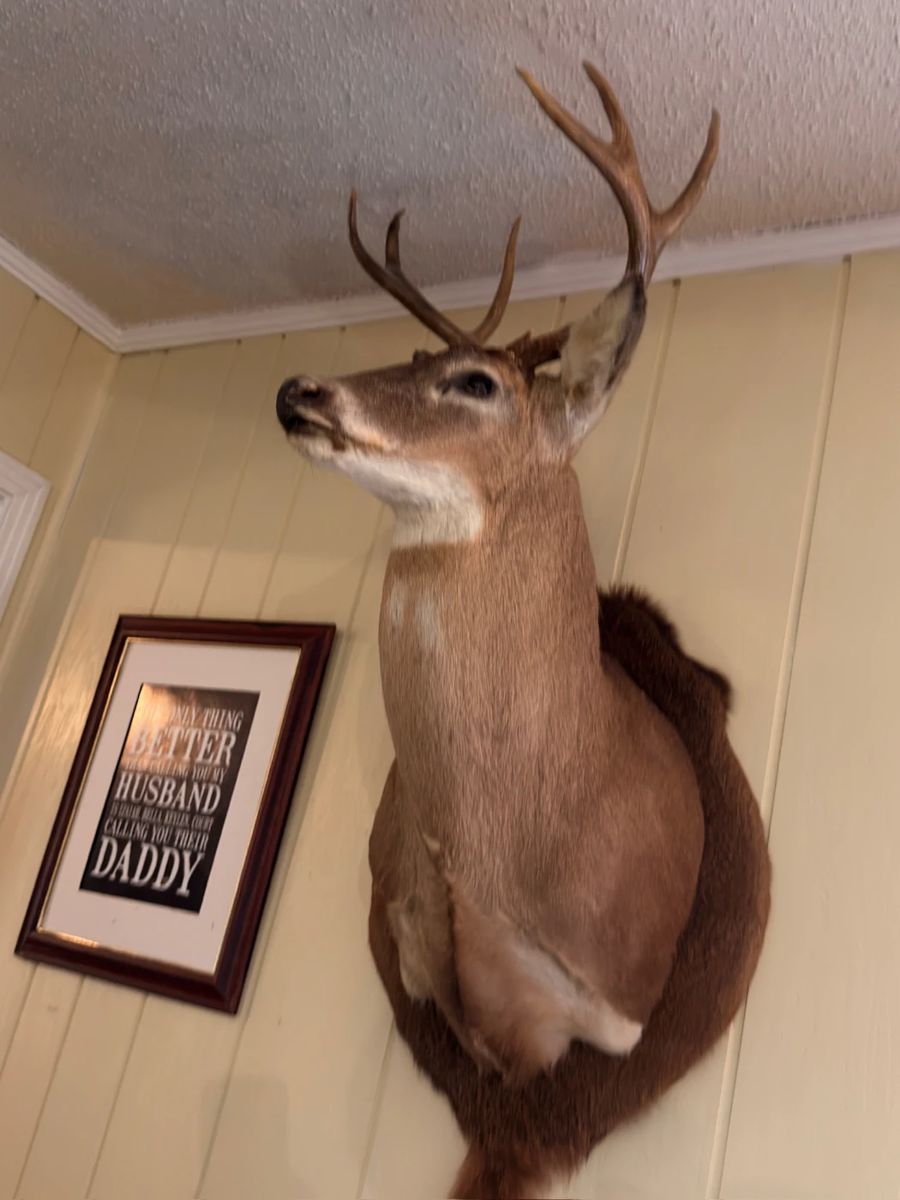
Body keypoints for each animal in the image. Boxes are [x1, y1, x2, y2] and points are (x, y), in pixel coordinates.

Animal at [277, 62, 771, 1200]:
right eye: (410, 351)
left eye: (478, 382)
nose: (297, 388)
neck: (503, 859)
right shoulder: (427, 971)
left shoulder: (616, 1012)